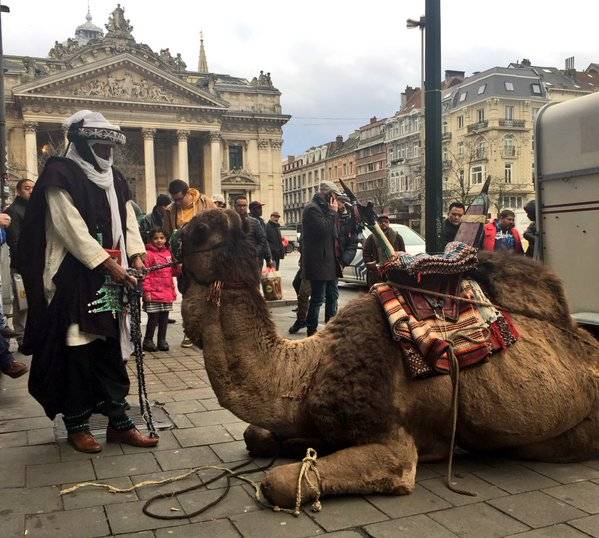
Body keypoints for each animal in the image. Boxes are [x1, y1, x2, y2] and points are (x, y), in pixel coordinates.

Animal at [182, 208, 599, 506]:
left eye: (201, 229)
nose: (182, 229)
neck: (305, 371)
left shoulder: (393, 446)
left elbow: (278, 482)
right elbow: (255, 435)